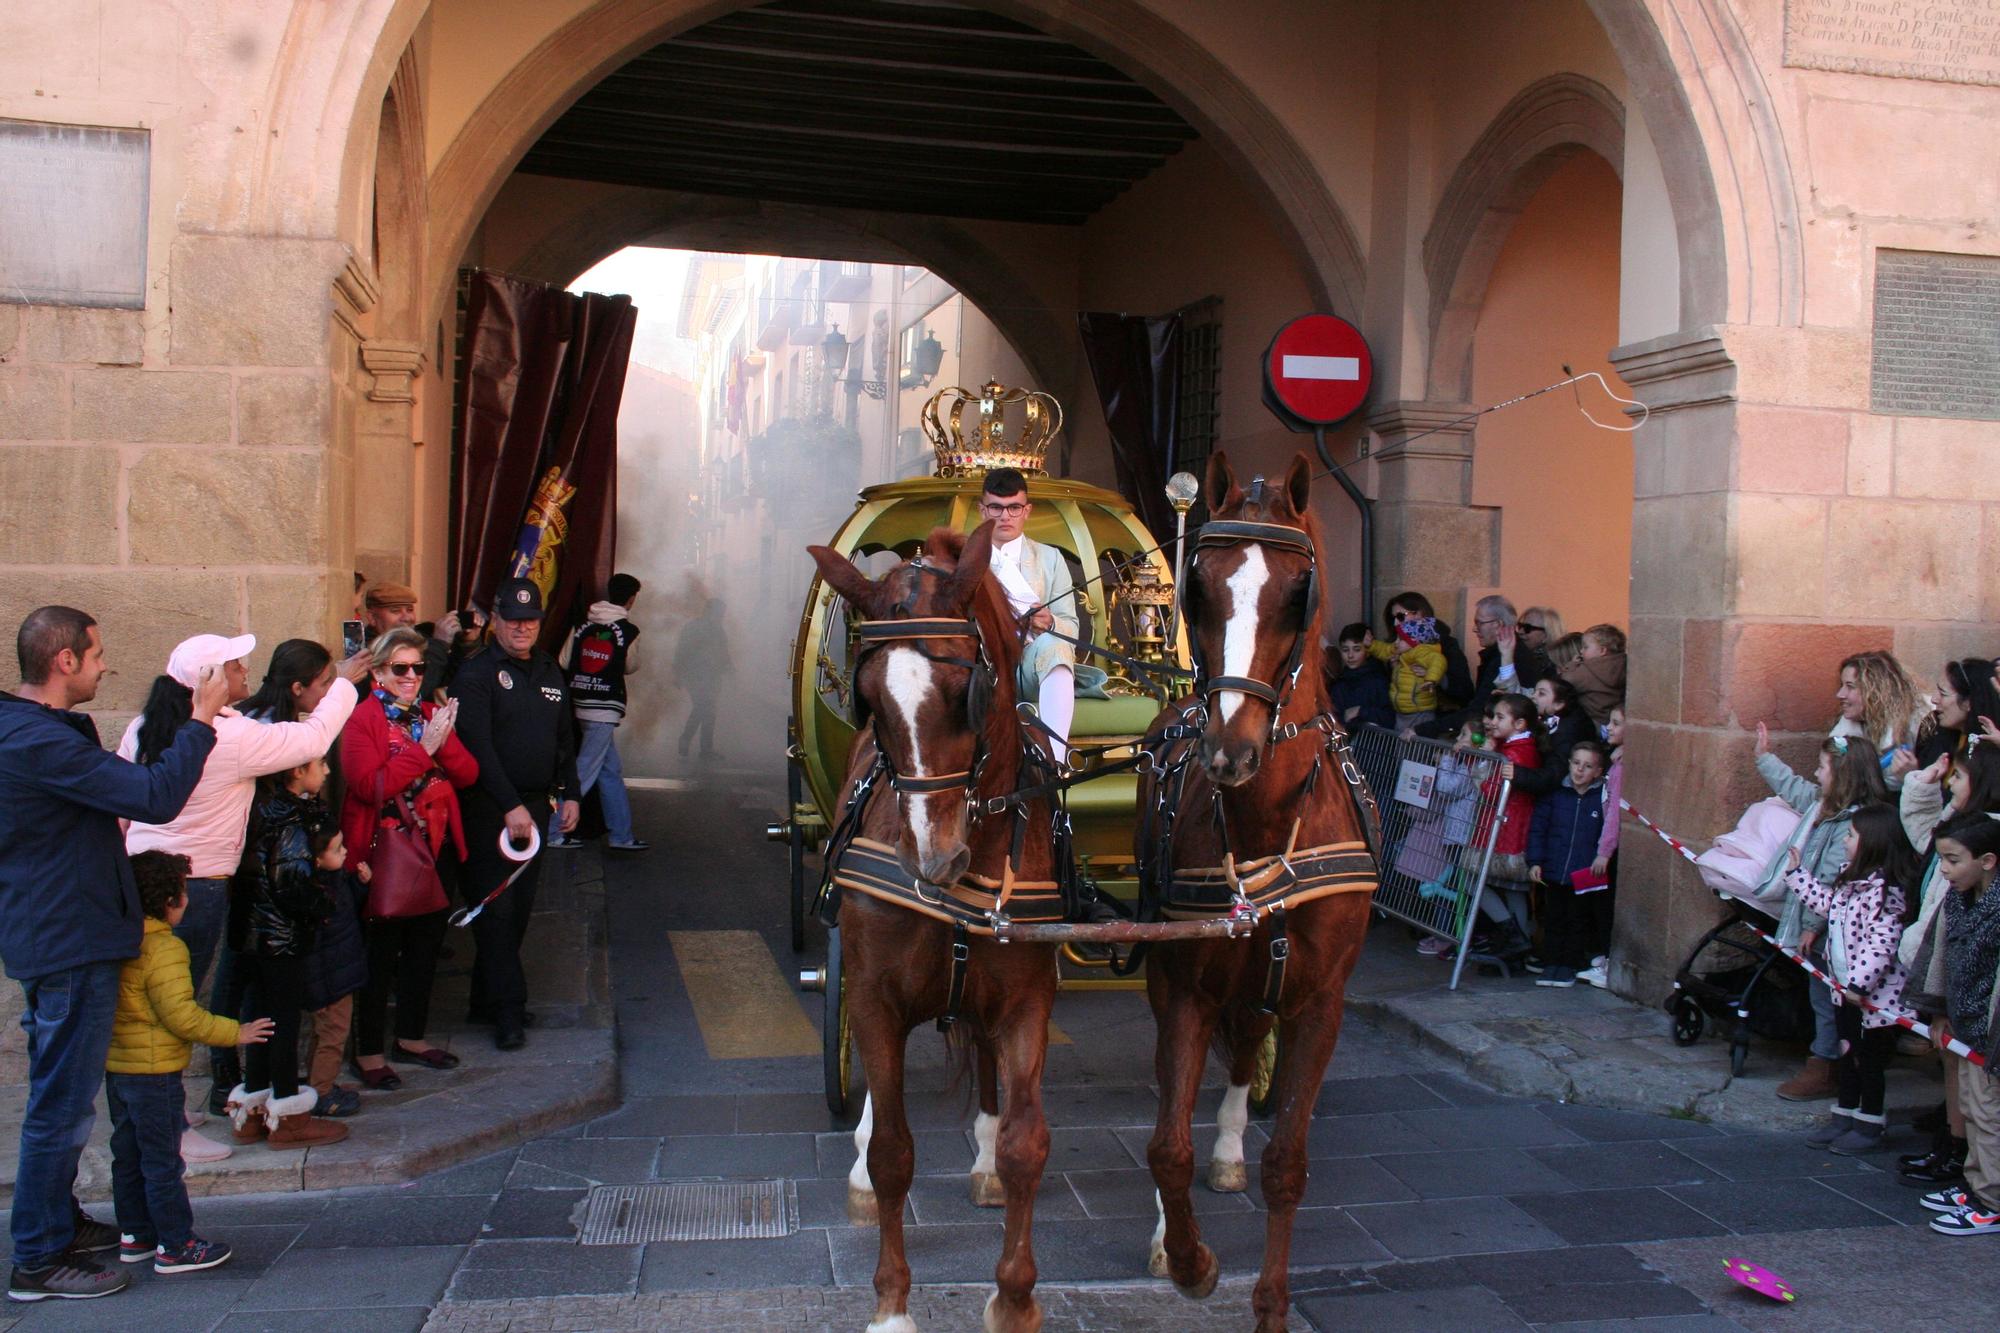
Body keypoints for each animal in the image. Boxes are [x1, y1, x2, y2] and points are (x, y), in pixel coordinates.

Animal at [808, 524, 1064, 1328]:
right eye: (868, 702)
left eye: (968, 692)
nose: (935, 856)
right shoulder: (875, 1001)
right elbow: (893, 1151)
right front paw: (892, 1305)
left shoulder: (1025, 1000)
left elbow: (1026, 1144)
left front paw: (1014, 1298)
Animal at [1136, 452, 1384, 1320]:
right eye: (1198, 587)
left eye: (1297, 590)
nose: (1231, 750)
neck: (1270, 822)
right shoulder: (1181, 983)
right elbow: (1166, 1143)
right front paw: (1186, 1257)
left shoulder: (1321, 1001)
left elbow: (1288, 1166)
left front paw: (1272, 1304)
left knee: (1246, 1050)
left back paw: (1233, 1146)